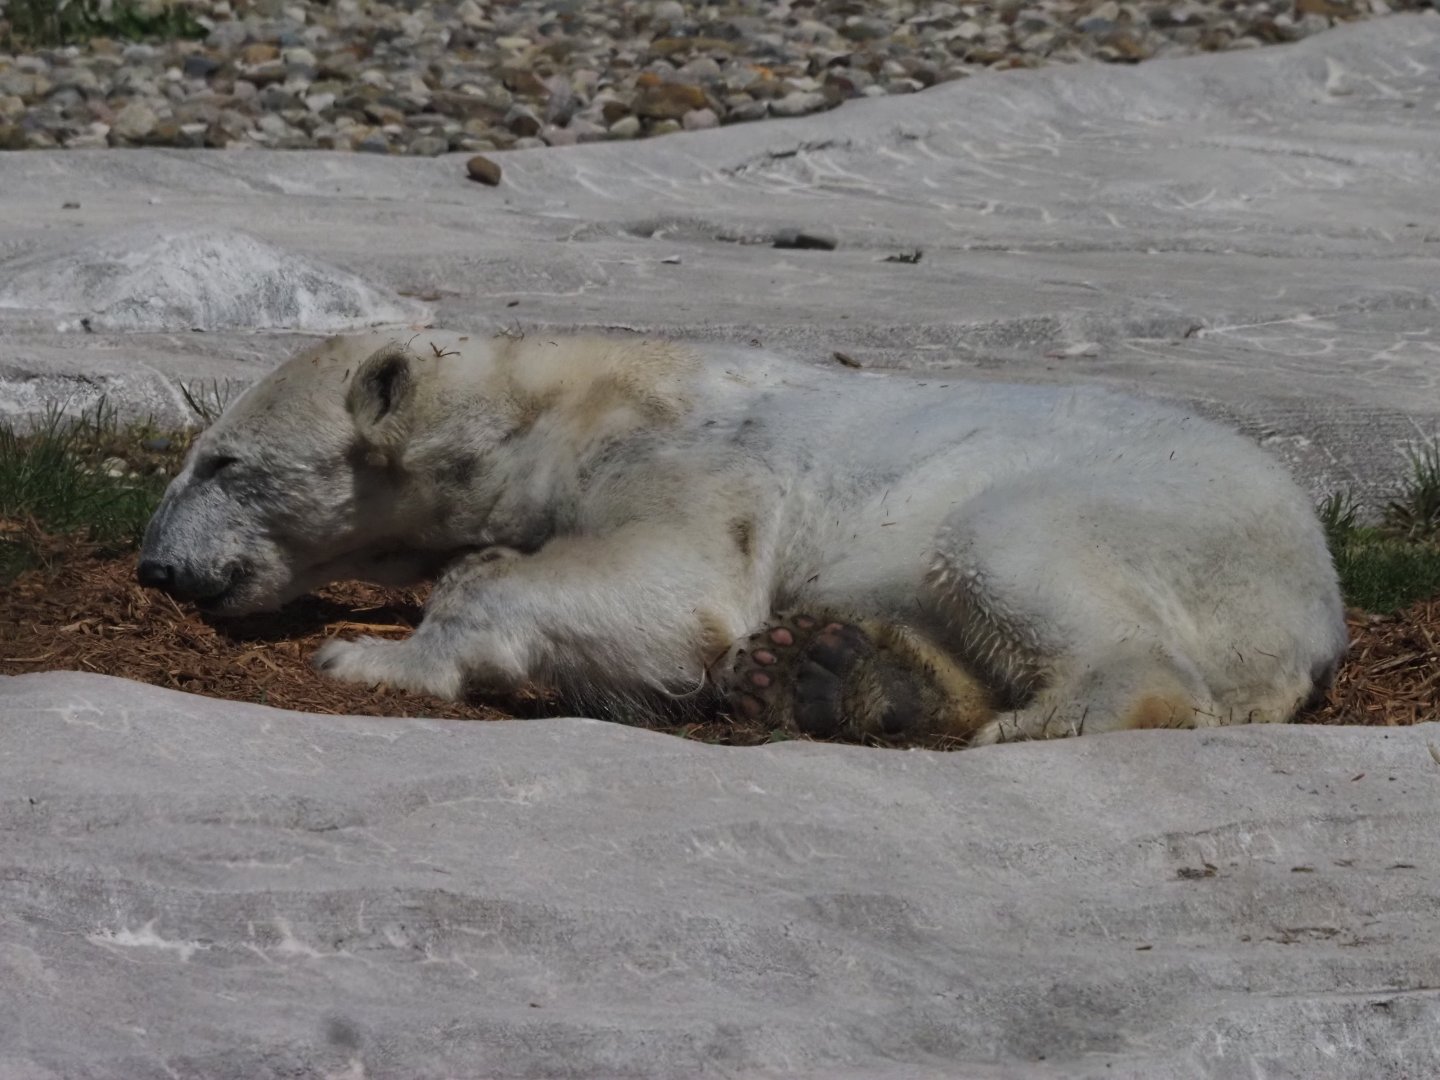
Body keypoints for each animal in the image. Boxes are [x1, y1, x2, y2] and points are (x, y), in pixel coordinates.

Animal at [138, 330, 1348, 746]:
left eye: (222, 462)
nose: (157, 564)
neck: (555, 402)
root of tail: (1316, 617)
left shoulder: (690, 460)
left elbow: (675, 586)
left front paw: (371, 656)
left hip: (1159, 513)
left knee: (1005, 545)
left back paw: (1054, 715)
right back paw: (838, 676)